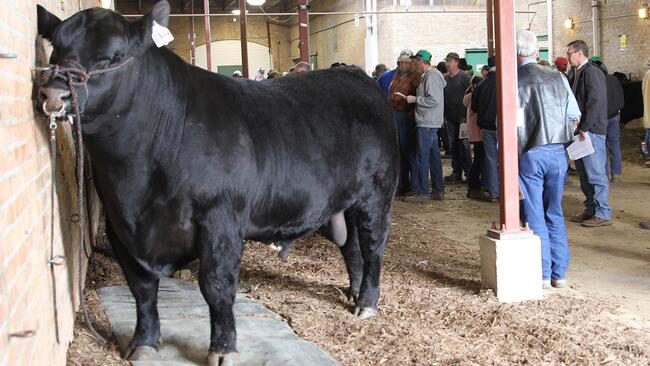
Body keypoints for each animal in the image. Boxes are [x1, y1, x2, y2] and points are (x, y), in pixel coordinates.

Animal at [38, 2, 398, 364]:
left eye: (114, 55)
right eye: (56, 50)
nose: (54, 94)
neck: (136, 184)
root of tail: (353, 74)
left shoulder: (220, 219)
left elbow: (216, 286)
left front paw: (223, 348)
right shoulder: (120, 226)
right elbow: (140, 288)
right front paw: (144, 342)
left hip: (377, 194)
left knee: (373, 244)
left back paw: (367, 302)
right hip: (345, 201)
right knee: (351, 247)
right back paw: (353, 293)